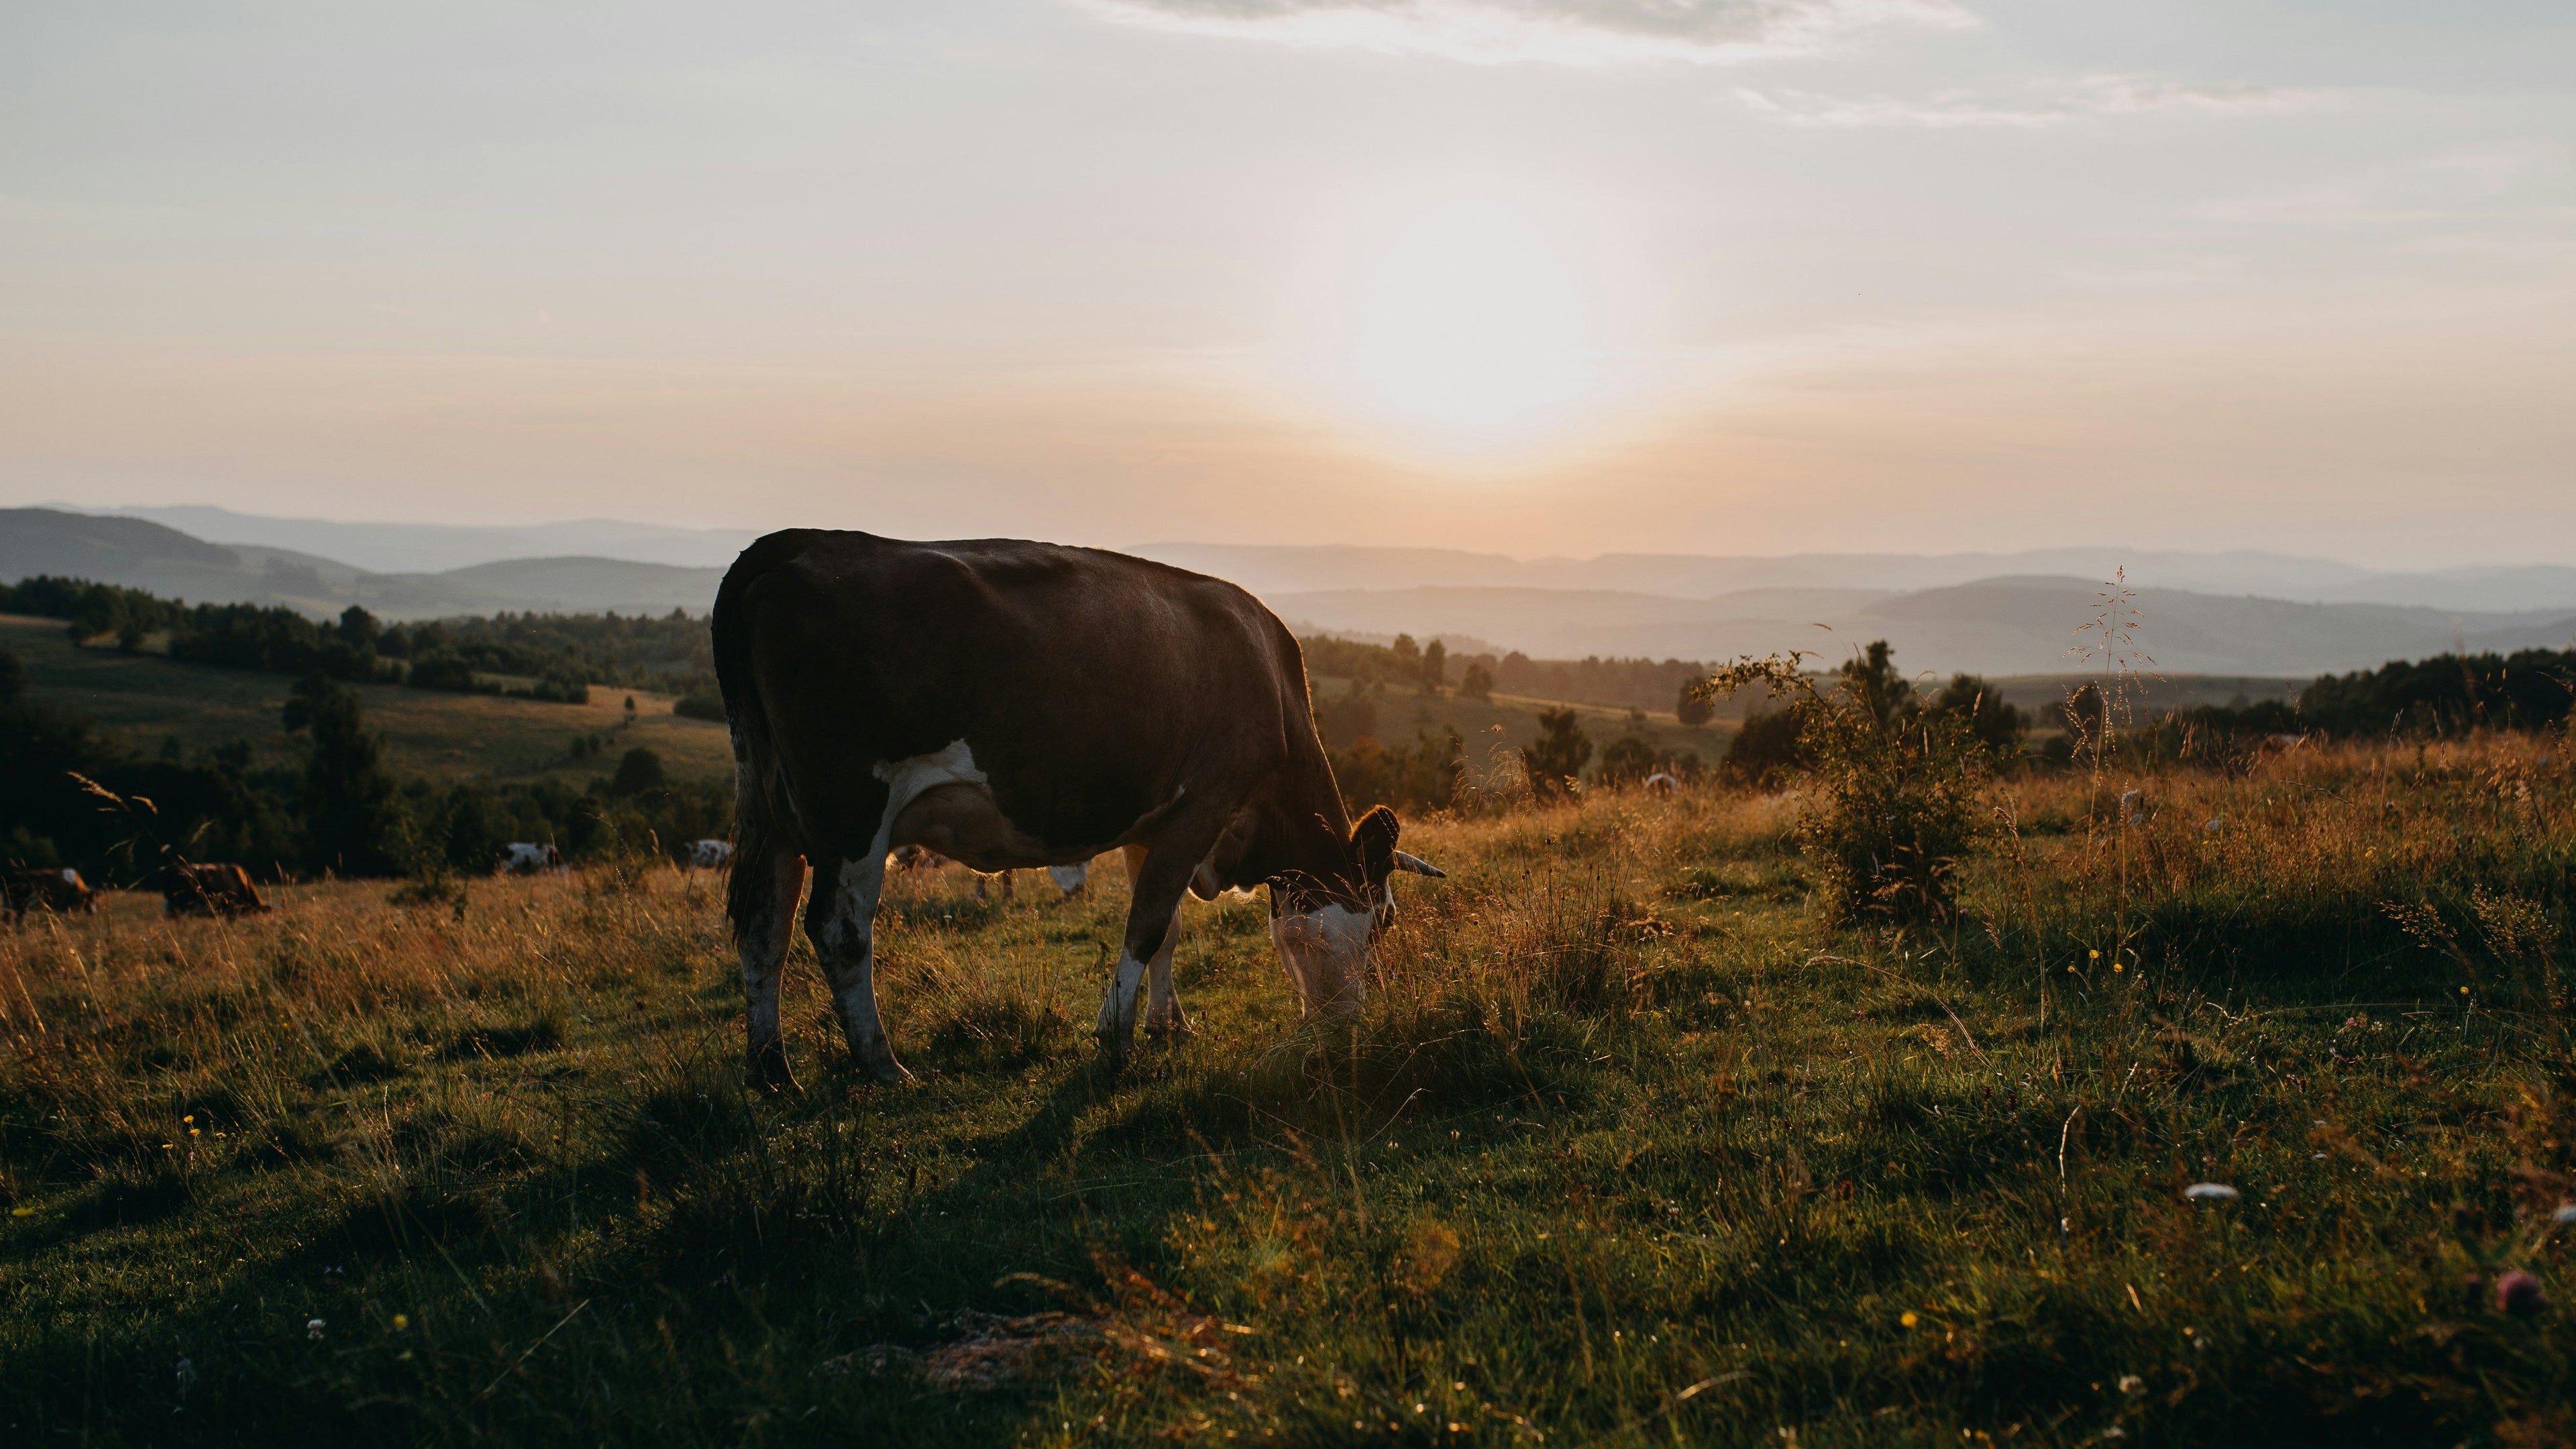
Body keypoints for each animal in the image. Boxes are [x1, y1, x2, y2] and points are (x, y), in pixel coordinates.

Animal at [5, 866, 98, 924]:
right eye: (91, 899)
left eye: (95, 900)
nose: (94, 913)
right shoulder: (64, 905)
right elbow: (64, 917)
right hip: (24, 902)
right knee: (19, 916)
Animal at [713, 530, 1445, 1088]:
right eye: (1383, 921)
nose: (1347, 1029)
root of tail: (792, 543)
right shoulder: (1202, 807)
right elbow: (1146, 925)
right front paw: (1114, 1038)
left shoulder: (1151, 826)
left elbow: (1169, 929)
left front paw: (1167, 1022)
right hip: (851, 808)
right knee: (838, 930)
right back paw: (884, 1066)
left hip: (772, 809)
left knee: (765, 925)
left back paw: (772, 1070)